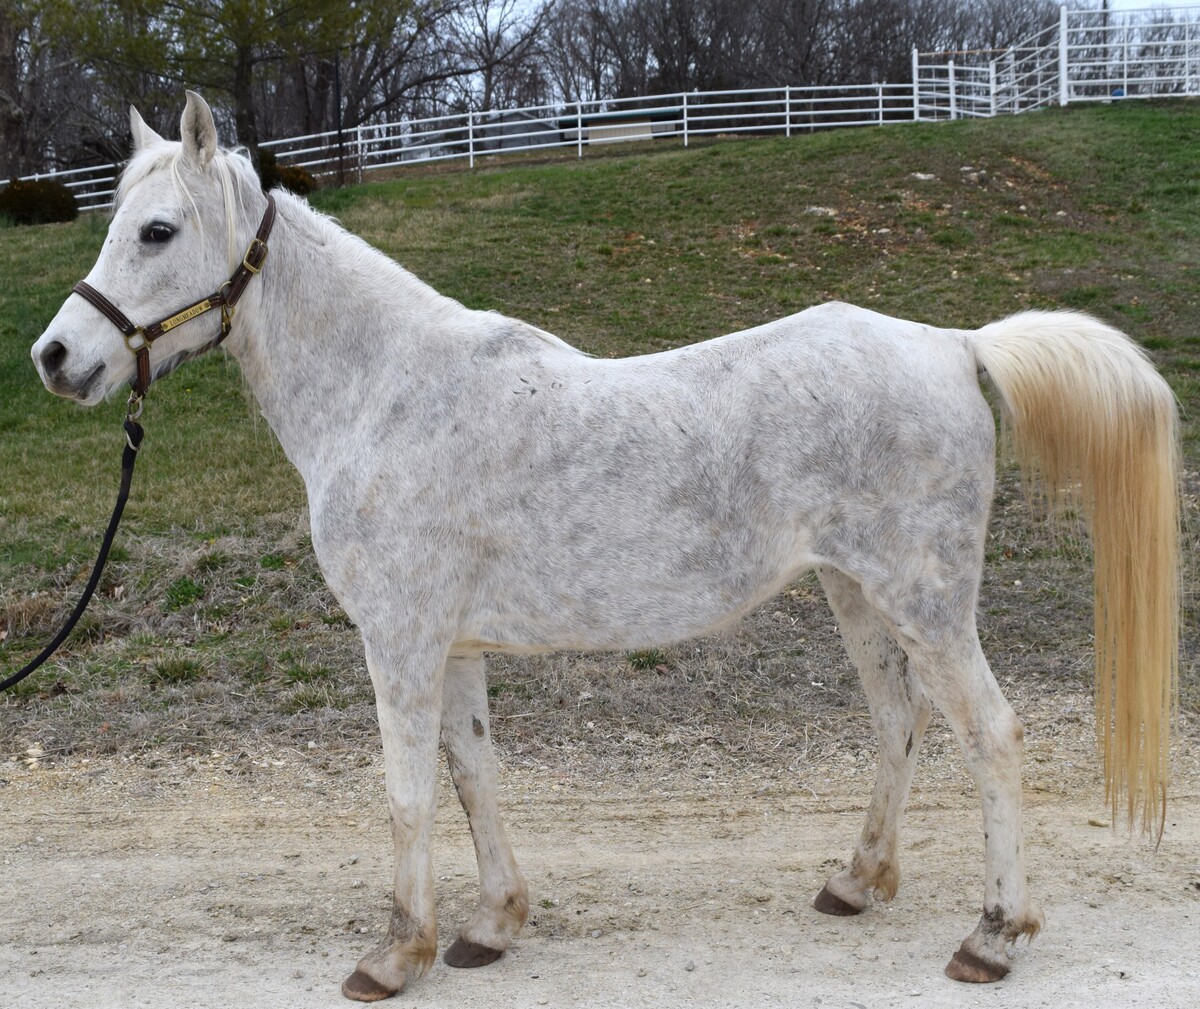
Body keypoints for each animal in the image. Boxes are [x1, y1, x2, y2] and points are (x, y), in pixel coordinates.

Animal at [31, 92, 1179, 1001]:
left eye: (158, 231)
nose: (56, 357)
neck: (387, 394)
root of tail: (953, 344)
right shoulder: (454, 647)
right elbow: (473, 775)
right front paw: (491, 925)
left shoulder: (400, 641)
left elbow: (406, 792)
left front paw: (395, 954)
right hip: (854, 591)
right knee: (899, 722)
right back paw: (856, 882)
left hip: (924, 599)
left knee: (992, 733)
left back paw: (994, 935)